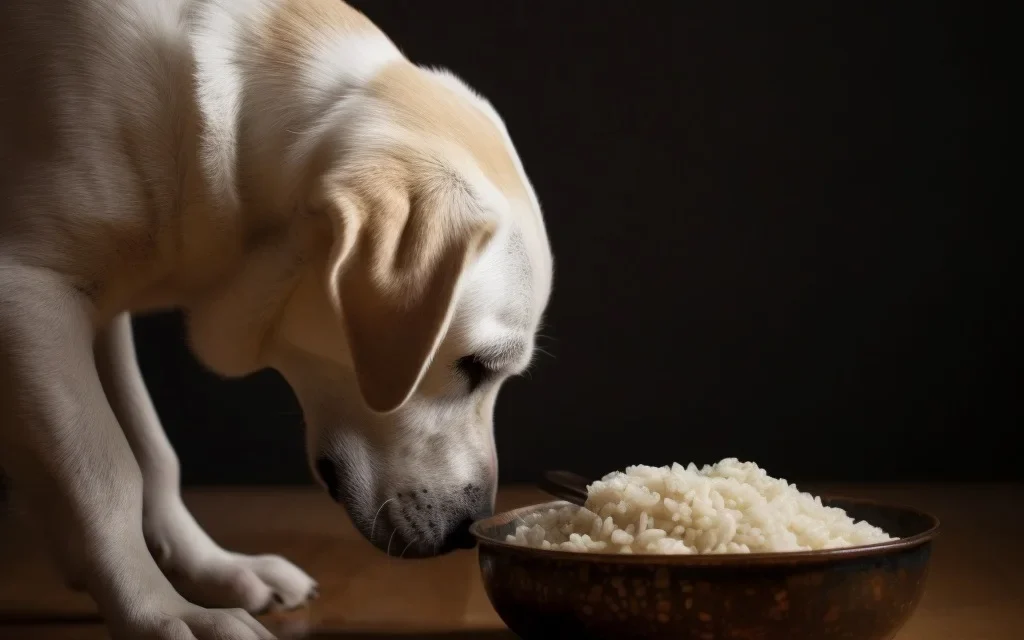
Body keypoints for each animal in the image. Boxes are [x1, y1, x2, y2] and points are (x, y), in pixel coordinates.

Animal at [0, 1, 552, 634]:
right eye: (477, 366)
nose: (470, 527)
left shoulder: (103, 311)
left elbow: (152, 453)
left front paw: (209, 570)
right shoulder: (31, 294)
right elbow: (107, 475)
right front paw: (160, 613)